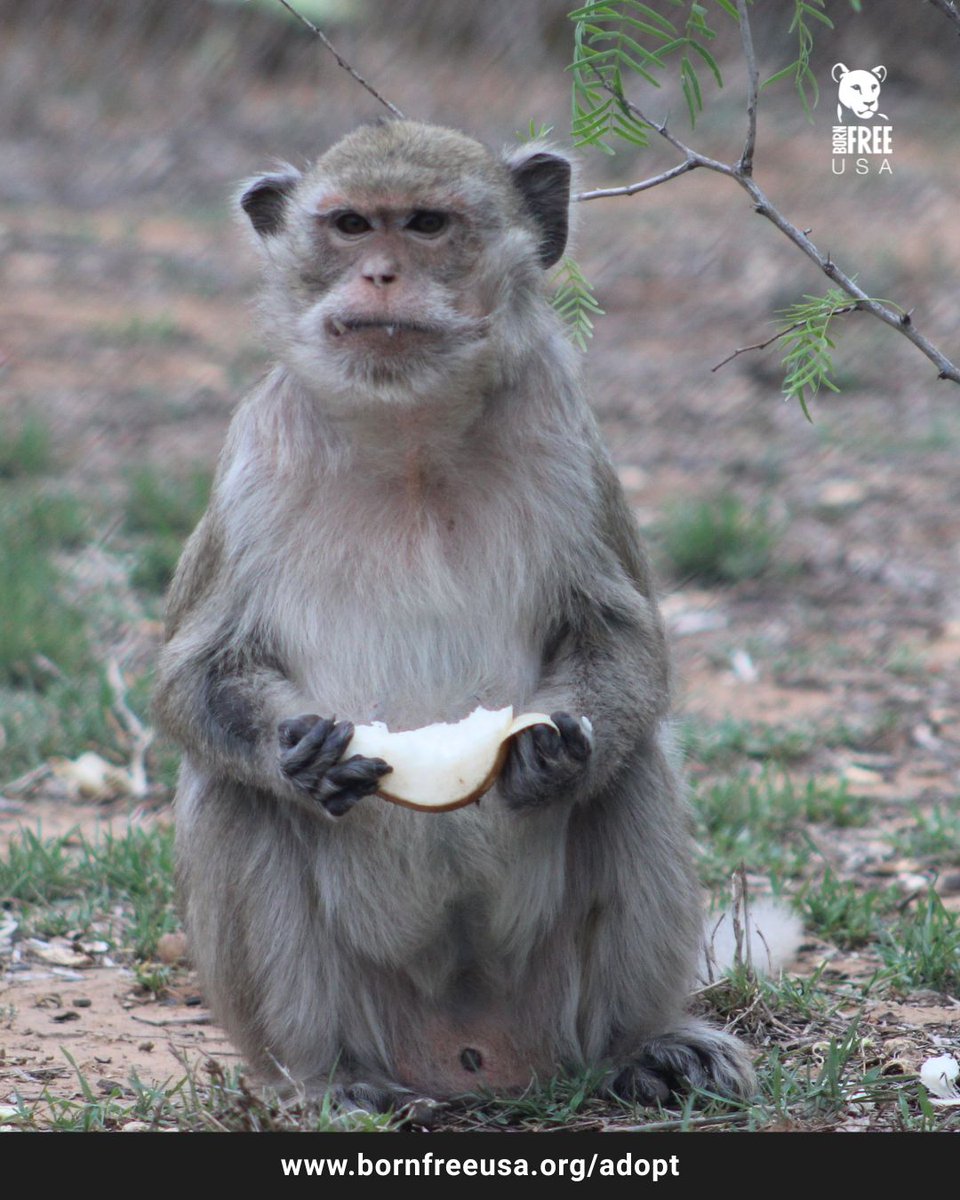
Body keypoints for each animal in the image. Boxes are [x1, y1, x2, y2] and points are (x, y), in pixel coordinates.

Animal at [153, 120, 756, 1110]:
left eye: (427, 225)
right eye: (351, 225)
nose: (380, 275)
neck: (410, 442)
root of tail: (471, 1052)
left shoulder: (568, 444)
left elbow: (623, 640)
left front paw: (550, 758)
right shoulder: (253, 464)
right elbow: (193, 677)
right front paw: (299, 755)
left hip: (553, 1003)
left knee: (632, 766)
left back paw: (643, 1045)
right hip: (366, 1008)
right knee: (233, 795)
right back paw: (327, 1079)